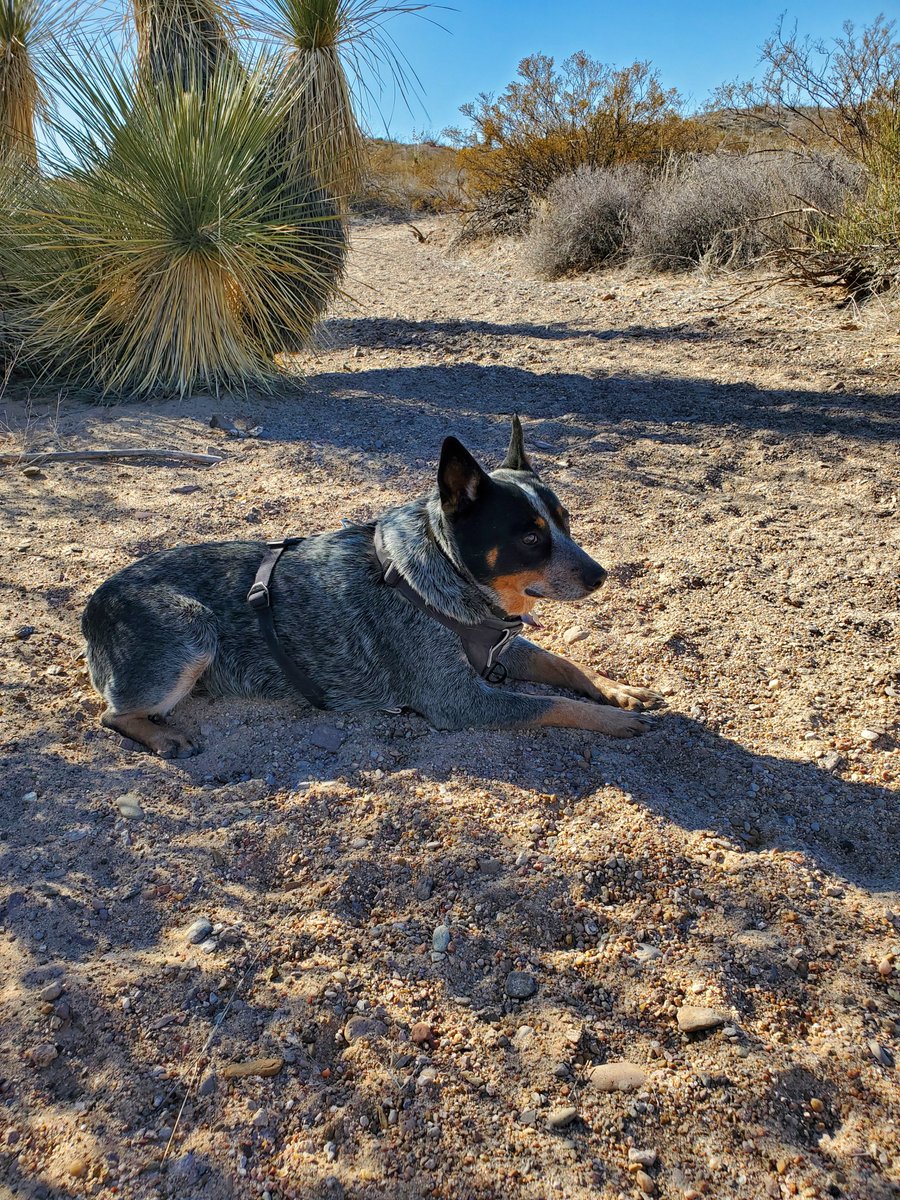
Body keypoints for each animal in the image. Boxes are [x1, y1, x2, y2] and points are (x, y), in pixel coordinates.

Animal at [82, 417, 662, 753]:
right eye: (529, 536)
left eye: (565, 521)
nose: (600, 574)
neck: (440, 575)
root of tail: (93, 604)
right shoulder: (458, 701)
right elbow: (553, 705)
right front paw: (610, 718)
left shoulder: (504, 647)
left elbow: (566, 665)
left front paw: (618, 689)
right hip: (192, 629)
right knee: (112, 712)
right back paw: (163, 737)